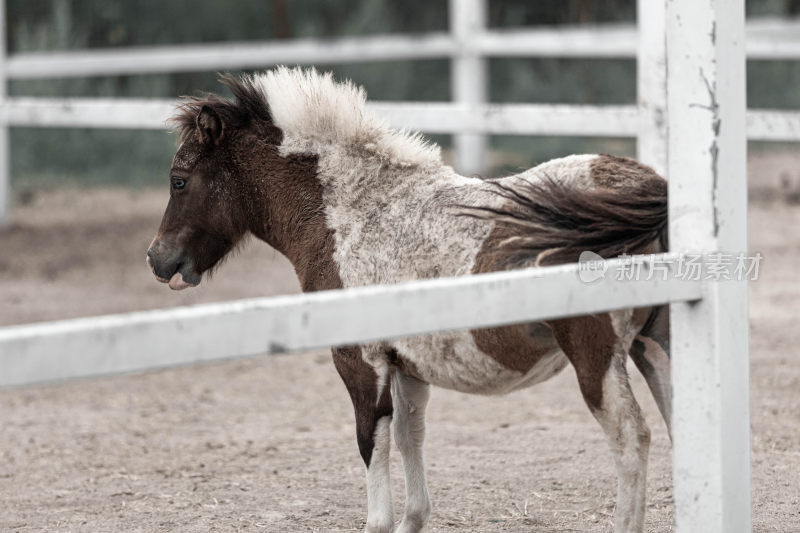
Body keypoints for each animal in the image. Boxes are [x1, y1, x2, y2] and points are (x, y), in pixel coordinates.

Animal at [147, 67, 672, 532]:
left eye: (179, 180)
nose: (157, 259)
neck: (351, 215)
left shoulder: (361, 363)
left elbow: (373, 446)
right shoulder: (408, 366)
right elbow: (409, 437)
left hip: (597, 357)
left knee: (632, 440)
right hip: (657, 347)